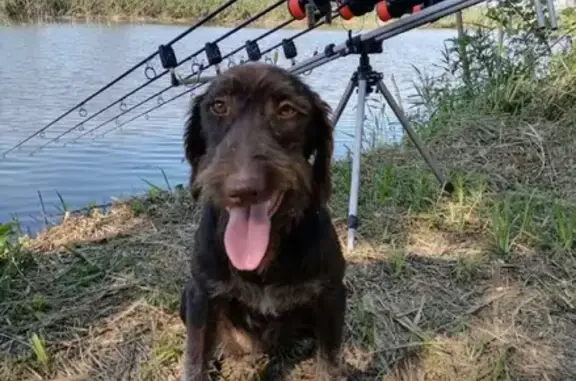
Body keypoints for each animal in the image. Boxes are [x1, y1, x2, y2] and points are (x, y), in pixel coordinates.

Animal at [180, 62, 346, 380]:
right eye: (218, 106)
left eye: (287, 110)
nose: (243, 189)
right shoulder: (201, 295)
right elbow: (195, 361)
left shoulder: (332, 296)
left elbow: (329, 364)